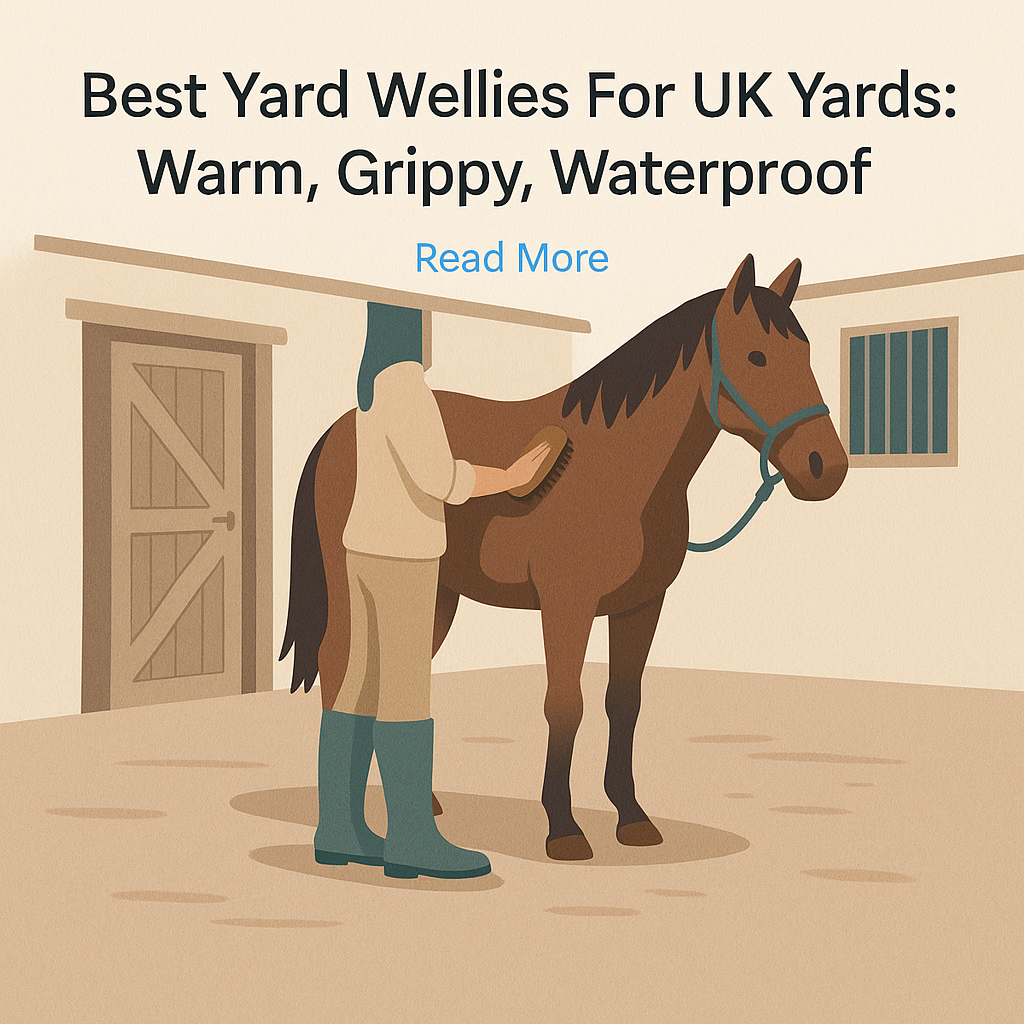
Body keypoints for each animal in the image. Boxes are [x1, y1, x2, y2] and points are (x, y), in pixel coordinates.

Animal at [280, 254, 848, 861]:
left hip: (434, 595)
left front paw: (632, 817)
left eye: (805, 353)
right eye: (756, 356)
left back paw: (417, 804)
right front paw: (563, 827)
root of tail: (341, 428)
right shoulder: (566, 605)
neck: (618, 468)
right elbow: (565, 705)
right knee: (342, 666)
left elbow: (624, 703)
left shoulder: (641, 606)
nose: (826, 467)